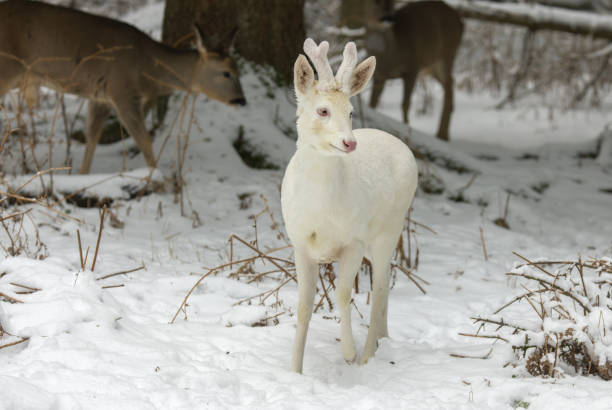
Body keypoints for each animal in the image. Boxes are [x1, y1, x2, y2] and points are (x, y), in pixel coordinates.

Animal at [0, 0, 244, 173]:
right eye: (227, 73)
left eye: (238, 69)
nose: (242, 100)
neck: (147, 67)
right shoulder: (123, 91)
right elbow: (144, 139)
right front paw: (158, 180)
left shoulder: (100, 96)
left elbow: (92, 137)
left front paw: (82, 175)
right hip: (7, 69)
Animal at [284, 37, 420, 372]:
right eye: (322, 110)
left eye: (349, 111)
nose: (349, 142)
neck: (320, 213)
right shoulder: (299, 242)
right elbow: (304, 305)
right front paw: (295, 368)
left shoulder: (353, 240)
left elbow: (344, 293)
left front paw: (348, 352)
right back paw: (382, 340)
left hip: (390, 227)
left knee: (381, 286)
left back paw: (369, 353)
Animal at [360, 0, 462, 140]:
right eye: (375, 1)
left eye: (392, 2)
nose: (388, 18)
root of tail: (460, 20)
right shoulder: (379, 75)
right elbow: (372, 104)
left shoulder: (412, 67)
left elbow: (405, 104)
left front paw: (406, 133)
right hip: (431, 65)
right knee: (450, 82)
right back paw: (443, 132)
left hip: (447, 53)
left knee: (449, 82)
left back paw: (442, 134)